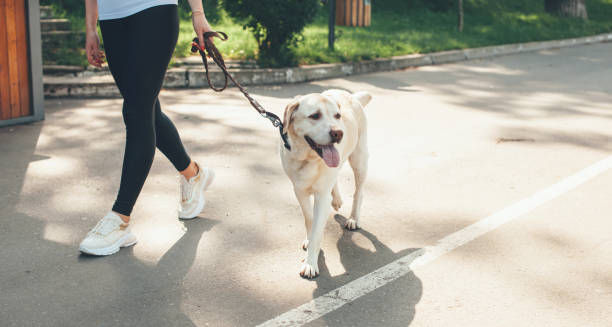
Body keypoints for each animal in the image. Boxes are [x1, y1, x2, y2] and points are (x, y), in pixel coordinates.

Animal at [280, 89, 370, 280]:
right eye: (315, 116)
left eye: (337, 116)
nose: (338, 133)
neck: (308, 158)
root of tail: (351, 96)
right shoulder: (299, 191)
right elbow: (309, 219)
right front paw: (309, 239)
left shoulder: (321, 197)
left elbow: (316, 231)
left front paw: (310, 264)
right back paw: (336, 199)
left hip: (359, 159)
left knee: (359, 192)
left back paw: (353, 218)